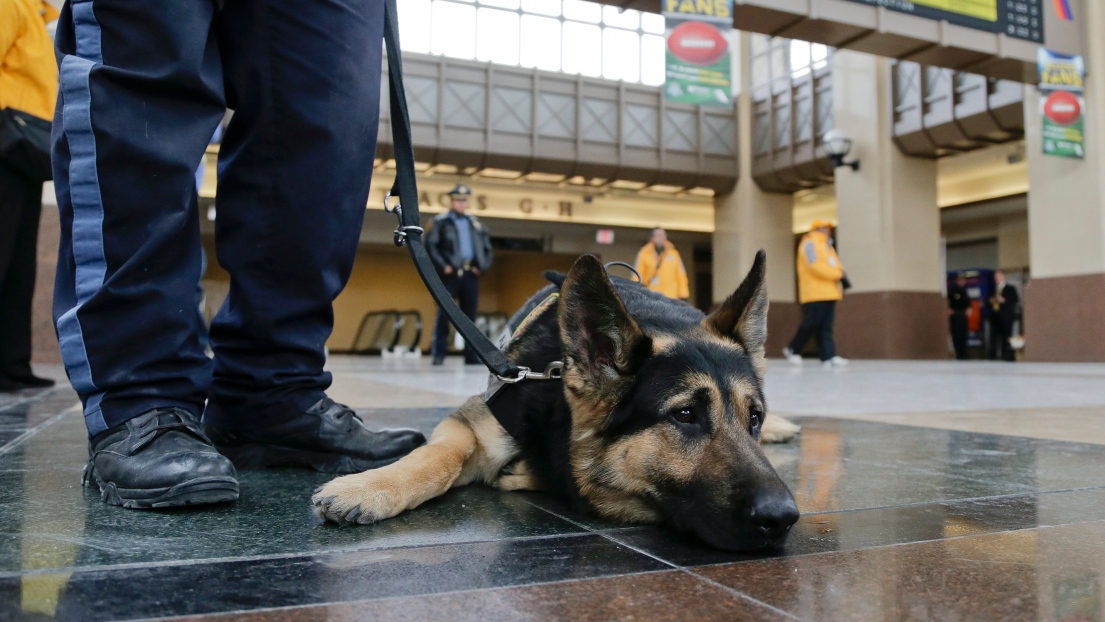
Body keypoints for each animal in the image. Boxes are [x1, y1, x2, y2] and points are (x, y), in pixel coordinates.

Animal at [316, 250, 800, 552]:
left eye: (753, 417)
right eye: (685, 415)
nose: (783, 518)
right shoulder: (474, 422)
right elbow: (438, 458)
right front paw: (370, 487)